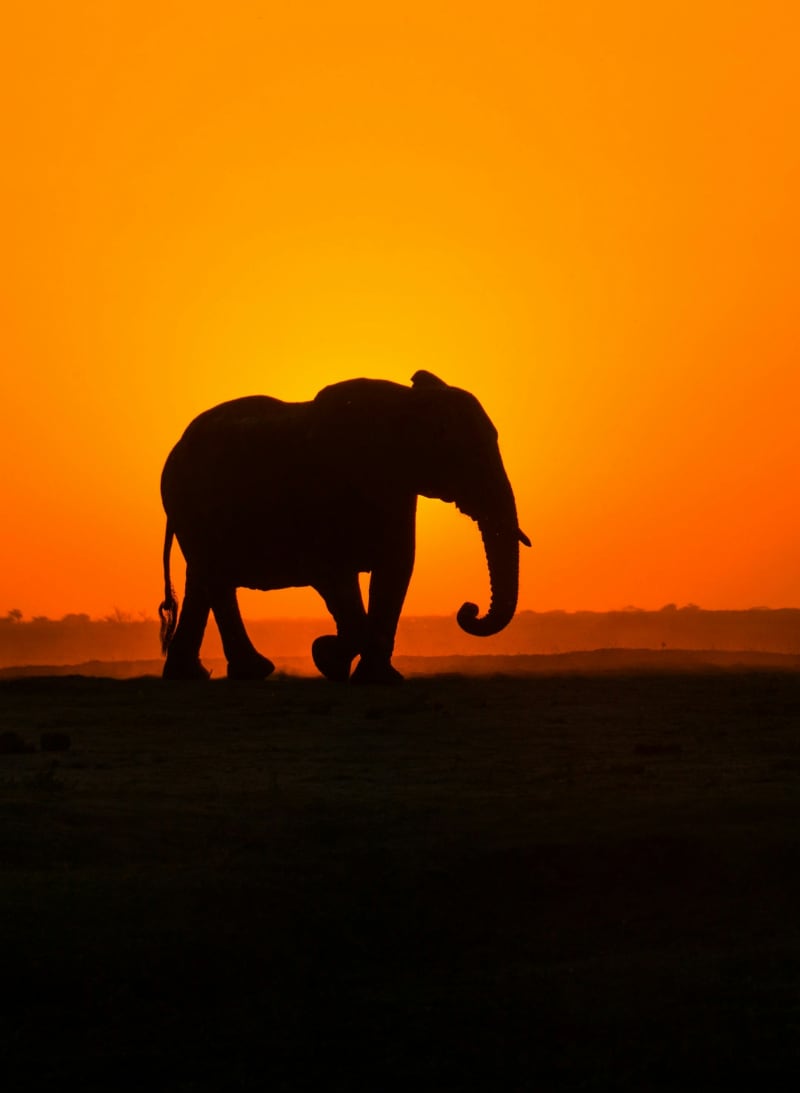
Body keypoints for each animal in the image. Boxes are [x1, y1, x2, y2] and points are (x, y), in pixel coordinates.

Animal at [158, 370, 530, 683]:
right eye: (466, 453)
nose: (468, 609)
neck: (406, 403)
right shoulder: (328, 491)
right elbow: (333, 573)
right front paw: (327, 657)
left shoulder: (397, 489)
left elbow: (395, 570)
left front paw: (377, 679)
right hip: (187, 503)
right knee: (214, 579)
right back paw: (245, 672)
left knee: (204, 580)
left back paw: (200, 675)